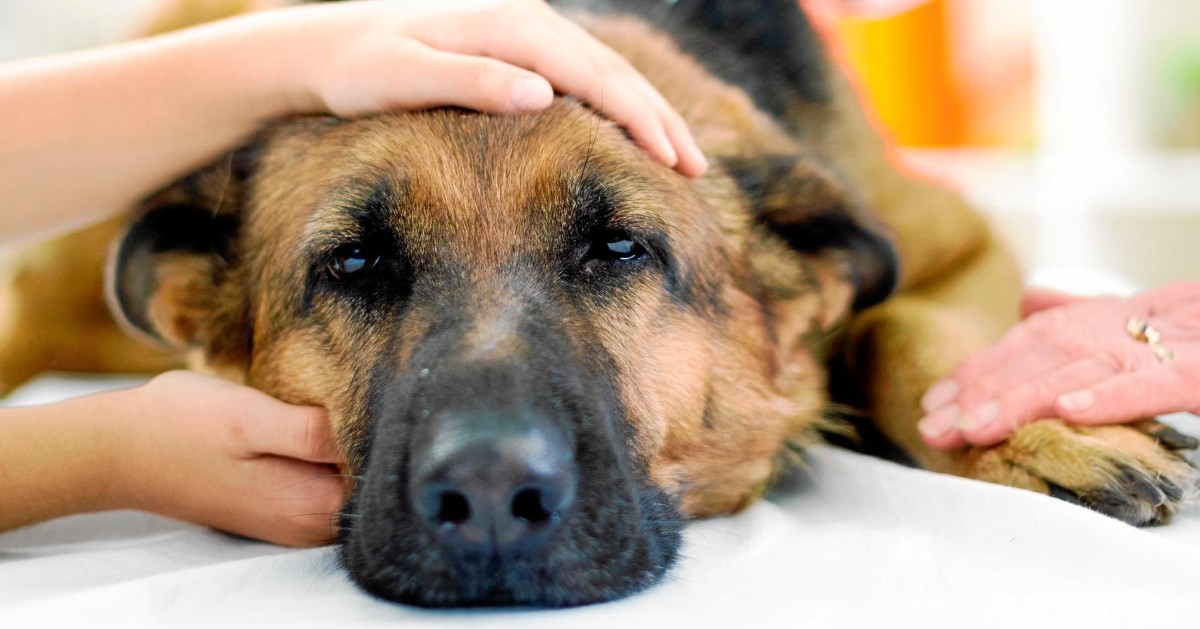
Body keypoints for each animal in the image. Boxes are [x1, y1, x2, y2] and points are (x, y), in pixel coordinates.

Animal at [2, 0, 1200, 609]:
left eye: (619, 246)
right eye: (353, 264)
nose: (489, 496)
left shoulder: (959, 246)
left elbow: (910, 327)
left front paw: (1033, 428)